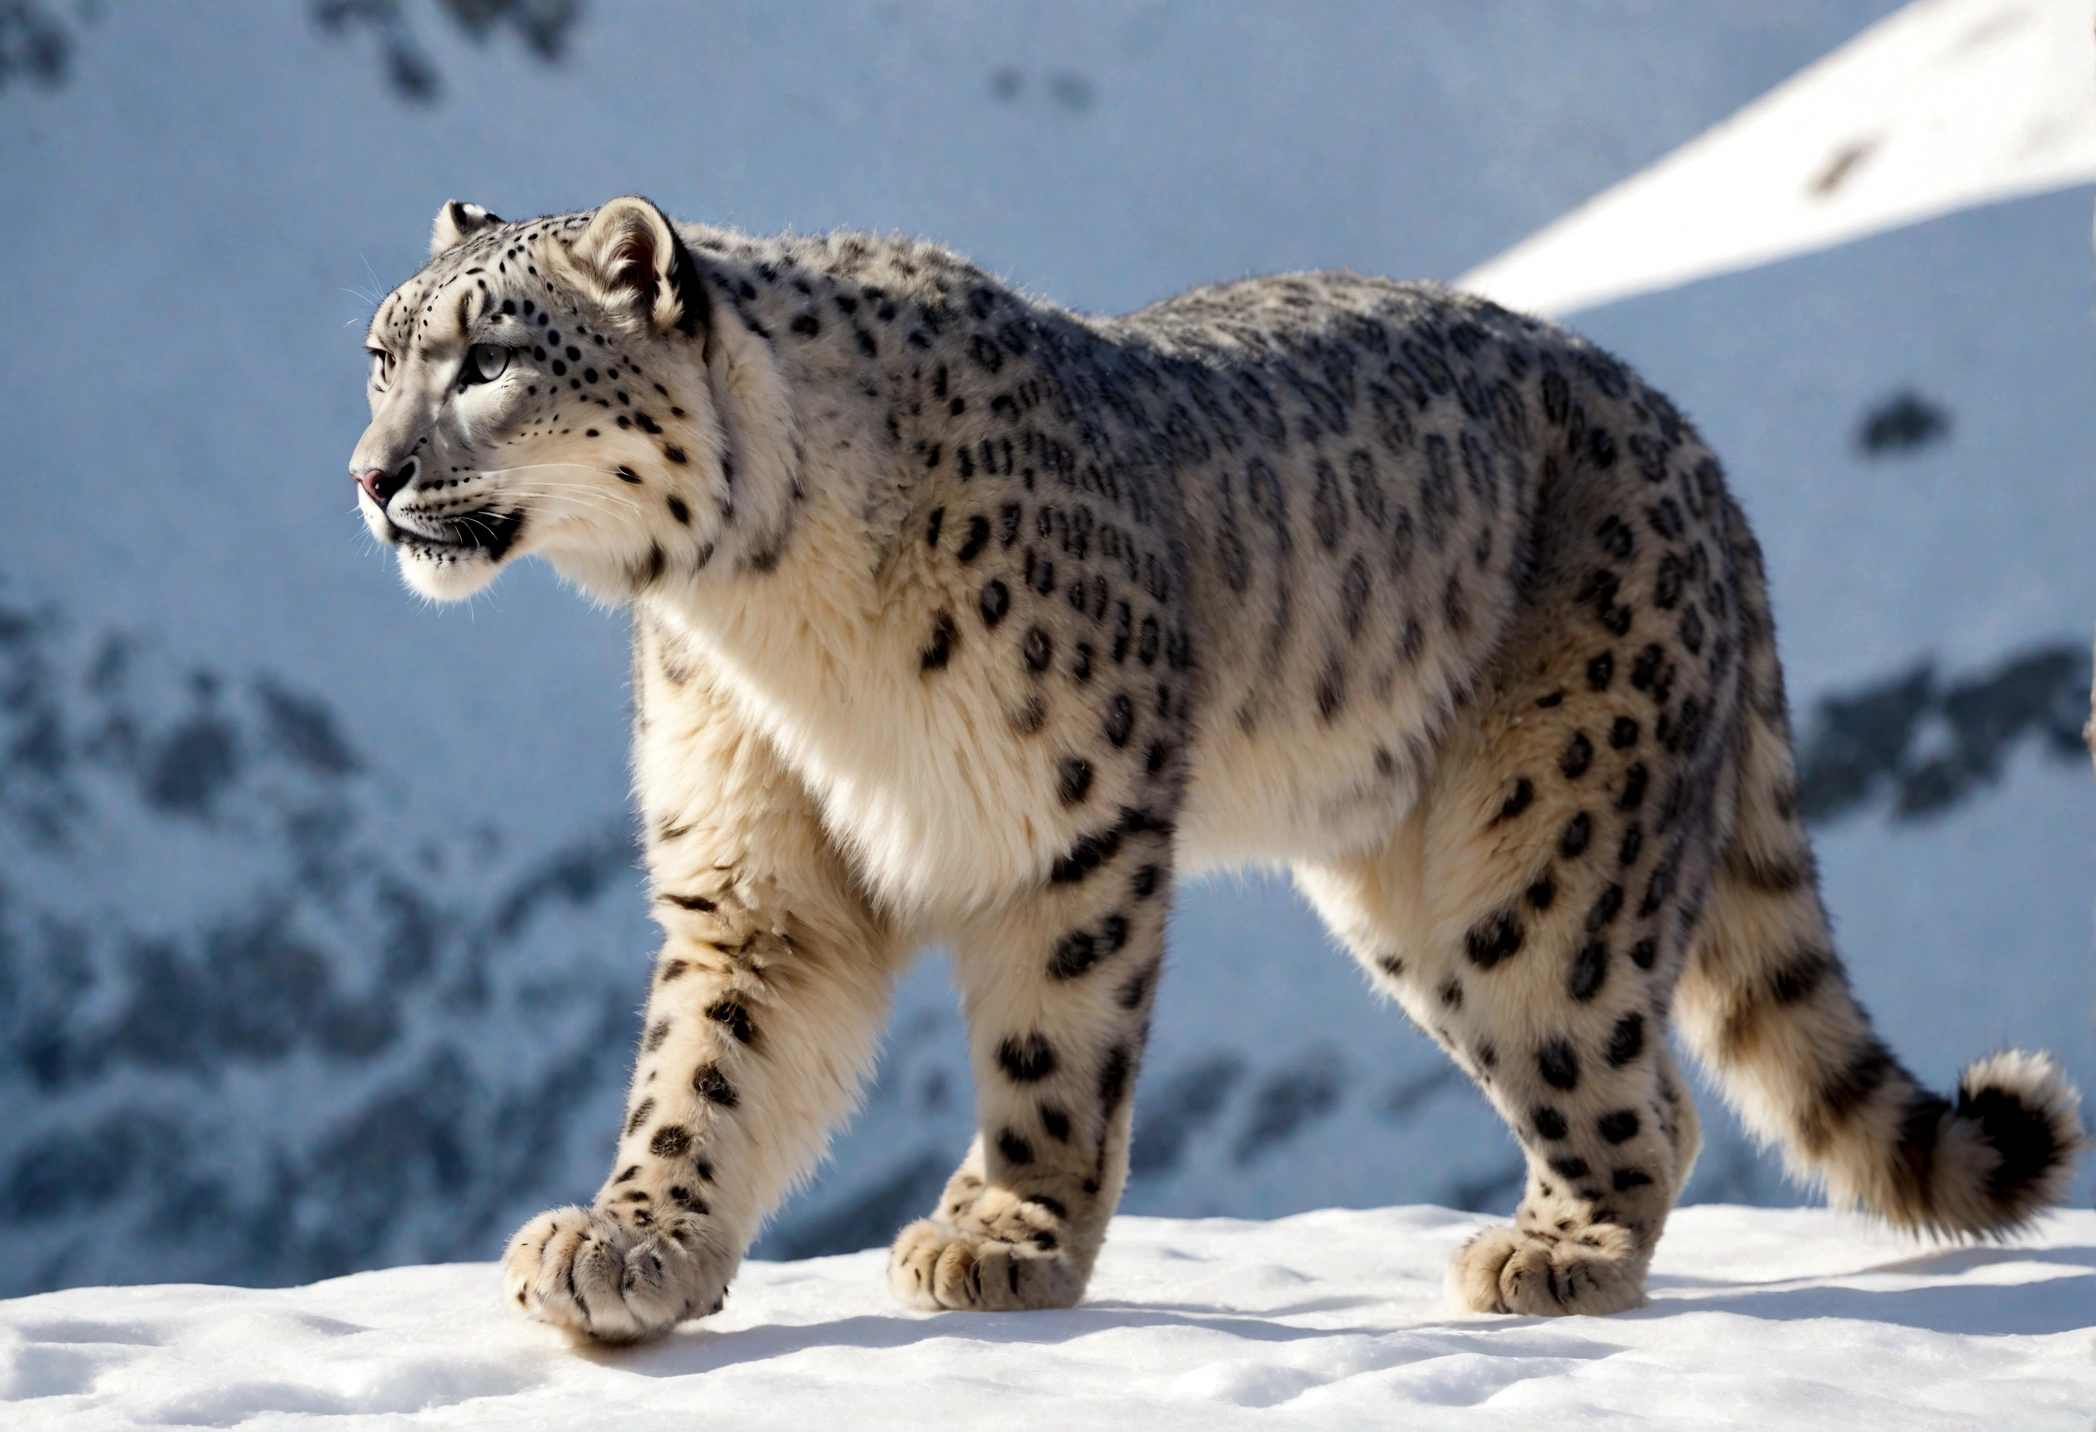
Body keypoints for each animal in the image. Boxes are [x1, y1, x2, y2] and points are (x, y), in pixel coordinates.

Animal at [343, 196, 2079, 1341]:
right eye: (377, 353)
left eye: (489, 361)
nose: (368, 475)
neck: (761, 615)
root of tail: (1689, 439)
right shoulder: (753, 867)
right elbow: (706, 1071)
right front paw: (631, 1245)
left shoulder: (1070, 814)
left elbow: (1050, 1050)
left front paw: (1009, 1238)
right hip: (1414, 894)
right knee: (1653, 1086)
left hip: (1546, 847)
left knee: (1619, 1069)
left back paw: (1560, 1256)